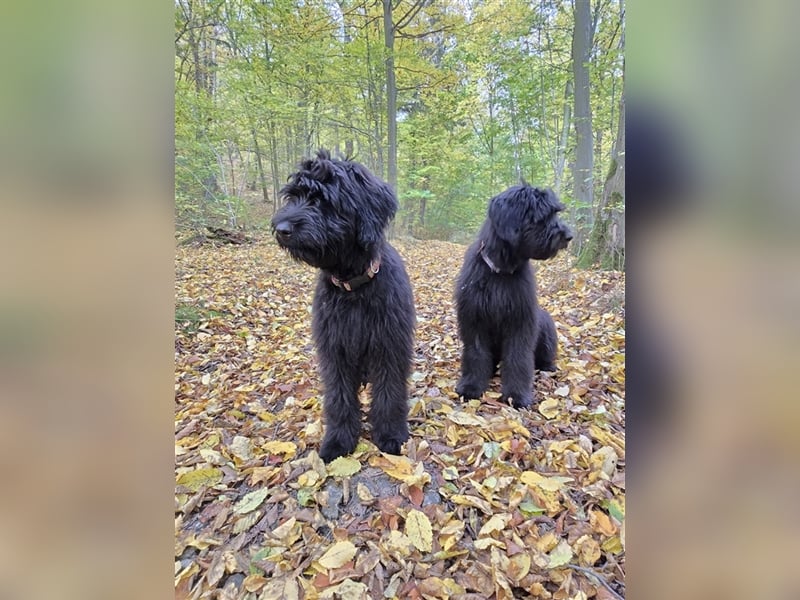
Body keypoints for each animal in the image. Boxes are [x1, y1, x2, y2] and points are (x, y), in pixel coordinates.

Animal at [272, 150, 416, 460]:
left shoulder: (389, 345)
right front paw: (338, 440)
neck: (354, 290)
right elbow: (339, 398)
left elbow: (389, 393)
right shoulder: (334, 349)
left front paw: (390, 434)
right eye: (293, 196)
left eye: (321, 199)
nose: (280, 229)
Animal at [454, 183, 572, 408]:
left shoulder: (521, 321)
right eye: (541, 215)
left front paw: (516, 395)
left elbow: (518, 358)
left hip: (545, 323)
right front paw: (471, 386)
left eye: (555, 212)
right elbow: (475, 353)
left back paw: (547, 366)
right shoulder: (474, 320)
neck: (501, 272)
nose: (568, 236)